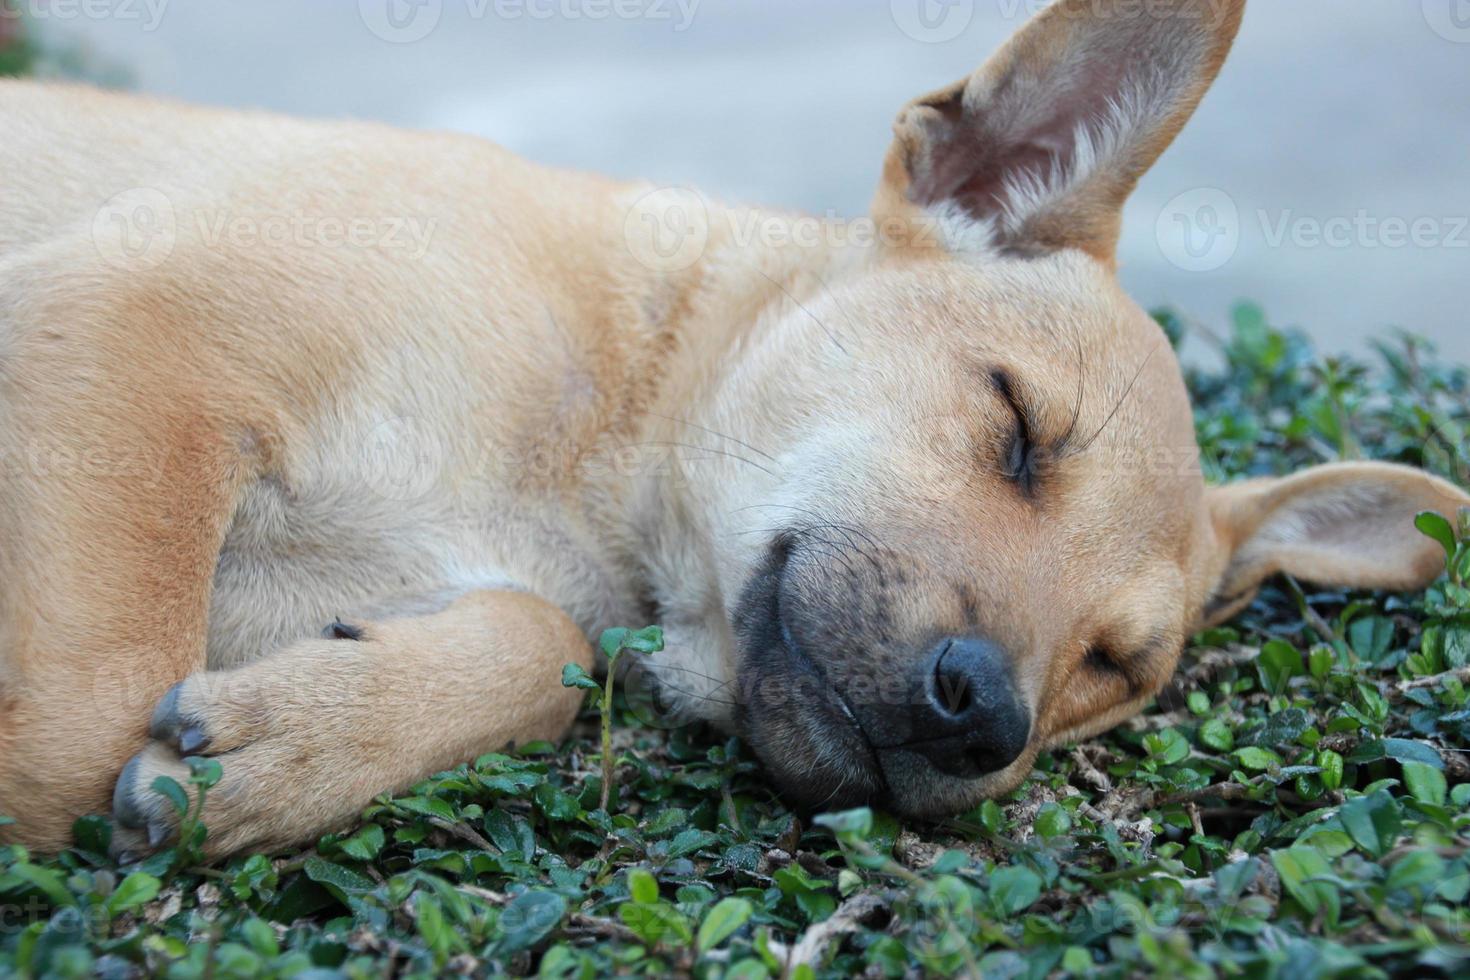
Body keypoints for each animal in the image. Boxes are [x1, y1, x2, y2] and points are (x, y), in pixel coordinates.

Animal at [2, 0, 1470, 858]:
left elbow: (544, 652)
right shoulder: (130, 334)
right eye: (1016, 427)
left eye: (1115, 667)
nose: (985, 719)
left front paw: (301, 737)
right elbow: (76, 731)